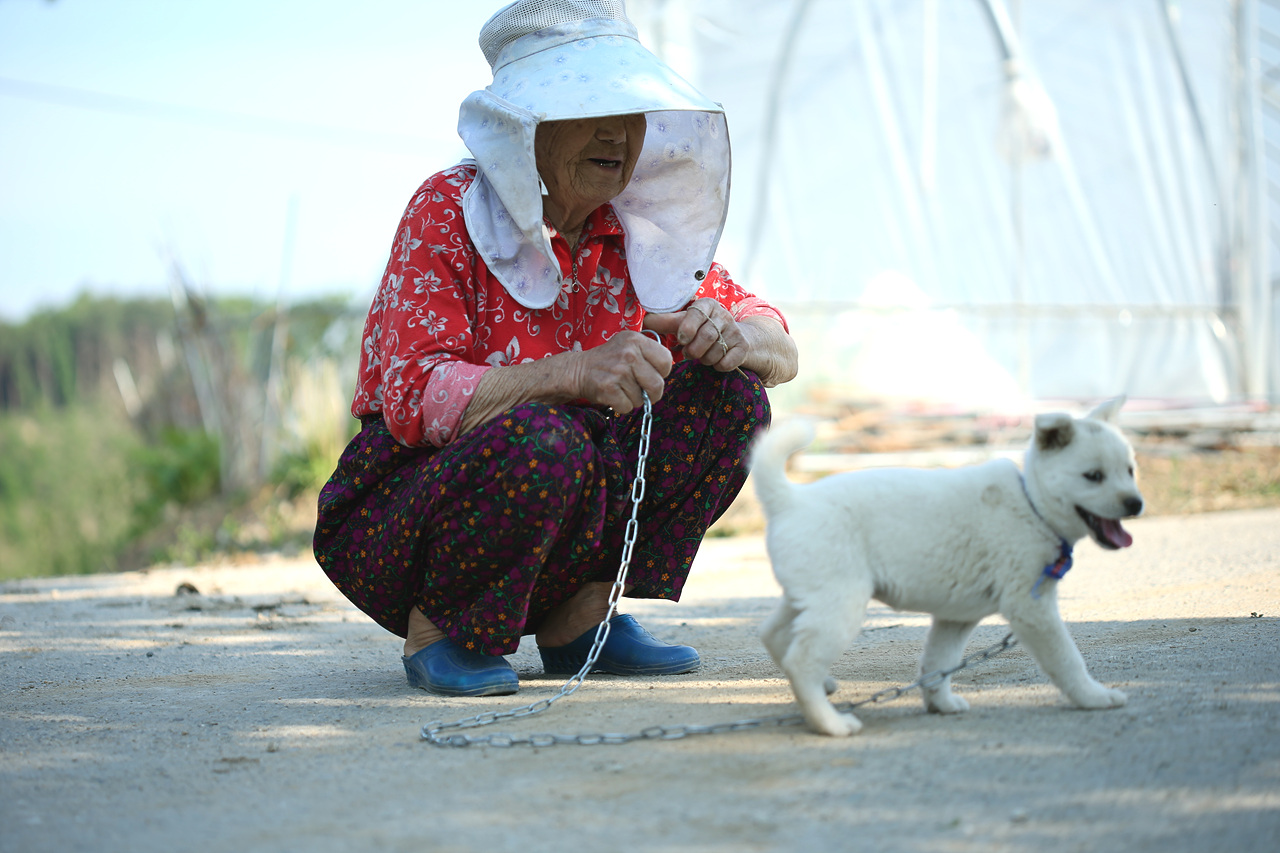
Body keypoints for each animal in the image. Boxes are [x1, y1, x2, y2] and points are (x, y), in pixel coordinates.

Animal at [747, 394, 1141, 732]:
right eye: (1093, 476)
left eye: (1130, 471)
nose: (1136, 503)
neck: (1032, 505)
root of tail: (790, 500)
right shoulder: (1032, 609)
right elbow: (1067, 659)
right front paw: (1094, 697)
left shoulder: (956, 617)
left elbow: (938, 662)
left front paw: (941, 704)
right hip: (841, 605)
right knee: (801, 660)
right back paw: (830, 724)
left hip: (812, 597)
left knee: (774, 635)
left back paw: (823, 687)